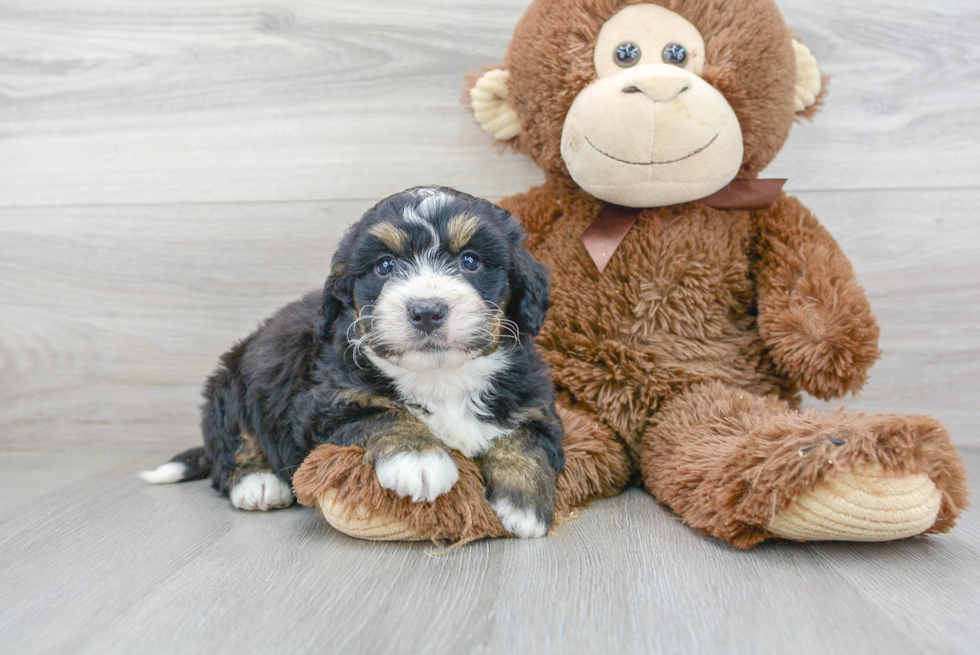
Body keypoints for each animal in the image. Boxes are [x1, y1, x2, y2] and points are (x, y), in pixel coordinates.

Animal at [141, 184, 564, 540]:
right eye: (385, 266)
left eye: (470, 261)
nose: (427, 311)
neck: (440, 377)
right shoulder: (328, 403)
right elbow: (382, 415)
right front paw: (419, 458)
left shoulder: (534, 401)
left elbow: (525, 440)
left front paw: (523, 503)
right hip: (230, 385)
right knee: (232, 446)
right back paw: (257, 484)